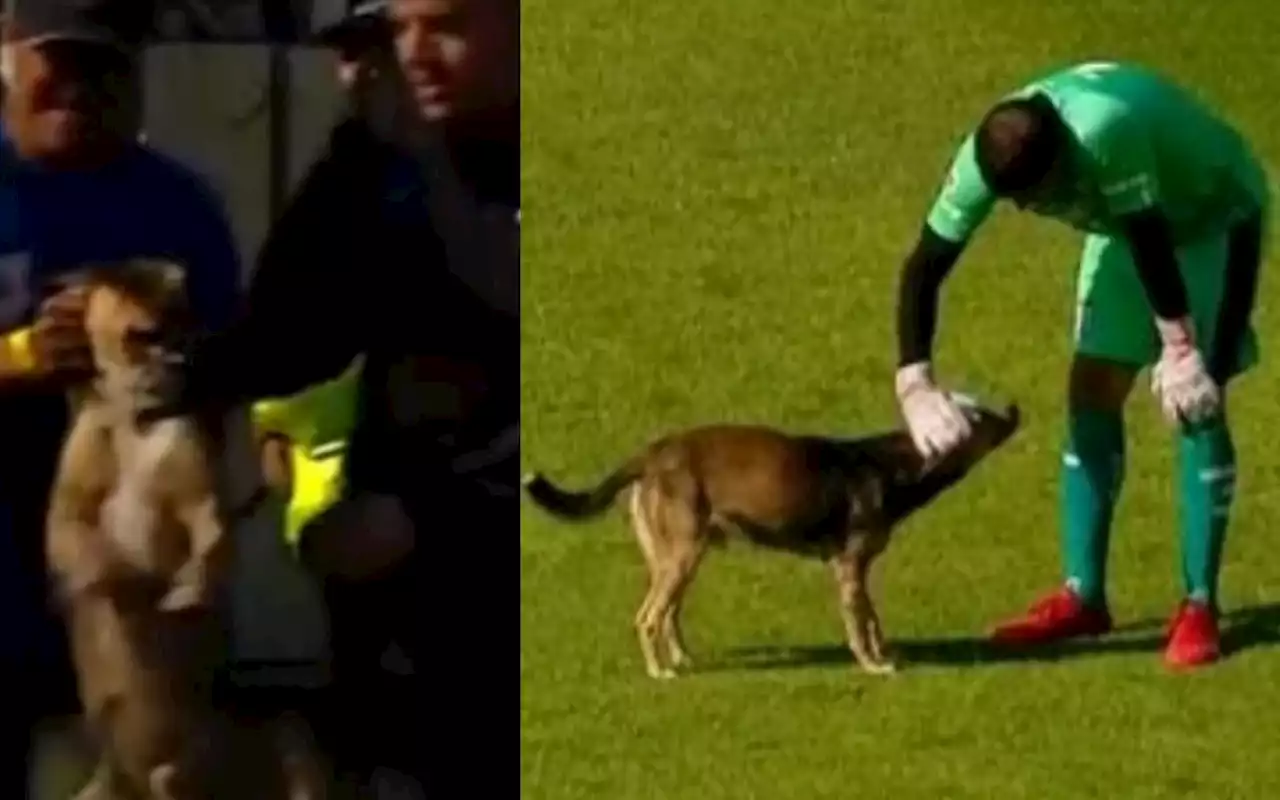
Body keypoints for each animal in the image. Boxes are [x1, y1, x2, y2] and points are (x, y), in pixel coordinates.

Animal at [43, 258, 330, 793]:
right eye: (144, 335)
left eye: (186, 322)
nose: (181, 362)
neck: (137, 419)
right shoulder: (70, 508)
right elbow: (85, 546)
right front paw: (113, 584)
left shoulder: (199, 498)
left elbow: (209, 537)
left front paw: (188, 590)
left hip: (283, 738)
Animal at [522, 396, 1018, 675]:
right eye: (980, 417)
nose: (1015, 408)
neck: (899, 463)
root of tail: (653, 452)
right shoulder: (848, 567)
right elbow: (859, 624)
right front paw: (873, 666)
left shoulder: (857, 570)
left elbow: (873, 620)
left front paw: (886, 656)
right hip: (681, 556)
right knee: (647, 617)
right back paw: (660, 673)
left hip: (676, 558)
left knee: (667, 615)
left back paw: (682, 660)